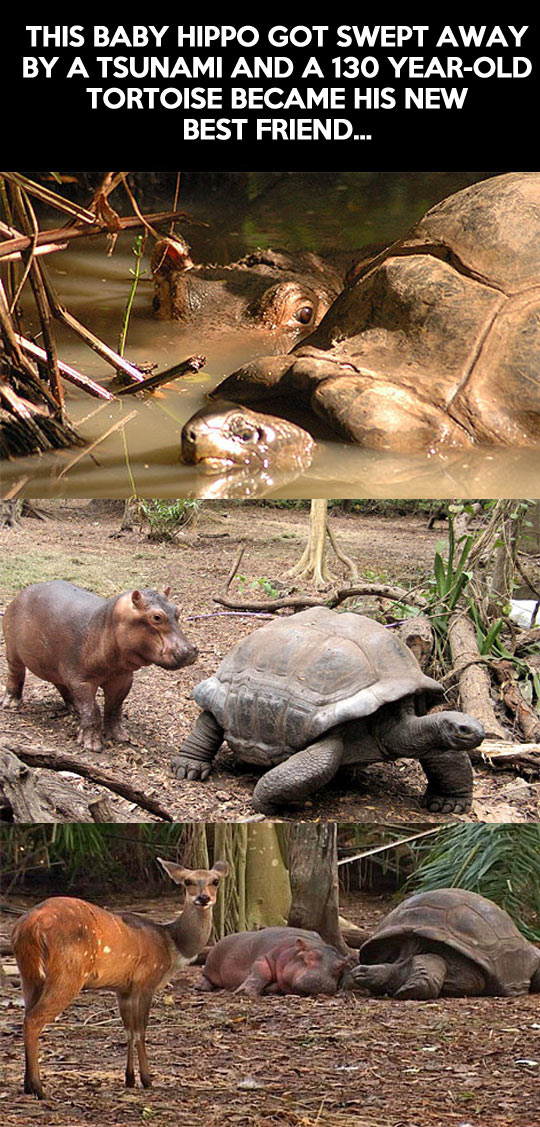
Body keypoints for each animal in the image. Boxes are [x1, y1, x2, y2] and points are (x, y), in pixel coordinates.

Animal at [0, 581, 198, 748]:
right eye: (156, 617)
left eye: (177, 611)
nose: (190, 650)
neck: (106, 625)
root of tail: (22, 592)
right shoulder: (82, 680)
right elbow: (92, 709)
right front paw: (91, 745)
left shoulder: (122, 679)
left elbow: (115, 707)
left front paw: (120, 736)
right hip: (13, 652)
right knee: (15, 674)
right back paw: (11, 703)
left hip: (54, 663)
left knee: (61, 684)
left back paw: (75, 709)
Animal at [12, 856, 227, 1095]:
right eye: (188, 881)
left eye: (215, 881)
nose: (203, 898)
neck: (172, 945)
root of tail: (29, 925)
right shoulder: (146, 982)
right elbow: (141, 1031)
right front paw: (147, 1080)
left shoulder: (123, 989)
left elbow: (128, 1031)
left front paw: (129, 1079)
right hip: (68, 973)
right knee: (33, 1020)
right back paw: (39, 1089)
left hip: (29, 974)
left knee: (25, 1016)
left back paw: (27, 1085)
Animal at [198, 924, 351, 996]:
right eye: (309, 957)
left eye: (341, 966)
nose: (320, 981)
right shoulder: (267, 955)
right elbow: (261, 970)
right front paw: (244, 991)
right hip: (212, 963)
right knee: (206, 975)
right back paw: (202, 987)